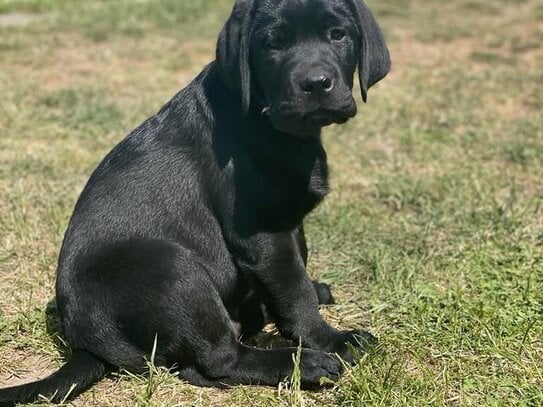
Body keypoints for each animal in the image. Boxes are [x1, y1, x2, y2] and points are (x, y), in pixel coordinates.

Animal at [0, 0, 392, 404]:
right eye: (273, 44)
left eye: (338, 35)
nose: (315, 83)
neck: (269, 121)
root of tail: (82, 341)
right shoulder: (263, 230)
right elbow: (292, 288)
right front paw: (330, 340)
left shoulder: (289, 222)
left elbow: (295, 268)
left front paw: (310, 298)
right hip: (171, 268)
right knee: (218, 360)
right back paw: (305, 365)